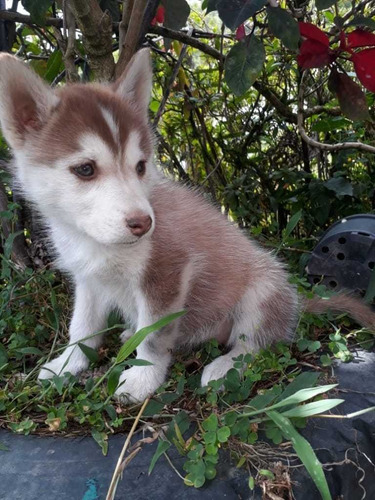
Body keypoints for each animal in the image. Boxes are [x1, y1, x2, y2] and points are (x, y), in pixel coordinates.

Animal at [0, 50, 374, 402]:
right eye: (86, 169)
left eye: (140, 166)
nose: (144, 224)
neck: (97, 242)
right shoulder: (87, 279)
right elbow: (82, 326)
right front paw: (68, 363)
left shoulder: (167, 275)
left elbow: (153, 336)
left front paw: (142, 379)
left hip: (264, 288)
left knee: (256, 342)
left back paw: (226, 366)